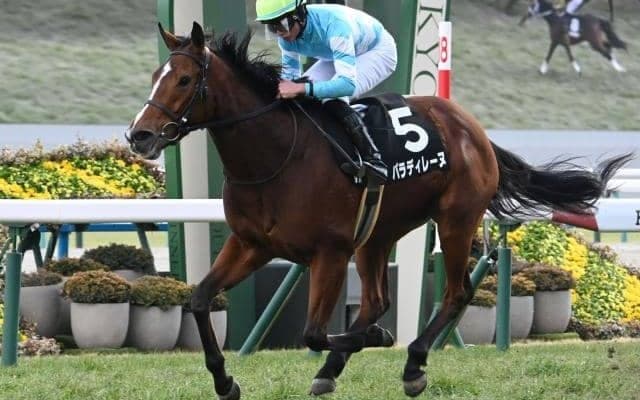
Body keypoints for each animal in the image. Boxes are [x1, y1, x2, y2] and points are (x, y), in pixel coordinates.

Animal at [125, 22, 631, 399]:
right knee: (376, 301)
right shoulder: (251, 244)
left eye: (184, 80)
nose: (139, 136)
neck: (275, 158)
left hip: (455, 220)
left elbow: (312, 332)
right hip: (378, 234)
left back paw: (412, 364)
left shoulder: (329, 252)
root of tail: (475, 130)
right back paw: (331, 371)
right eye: (152, 76)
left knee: (455, 294)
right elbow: (199, 299)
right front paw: (225, 381)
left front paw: (383, 340)